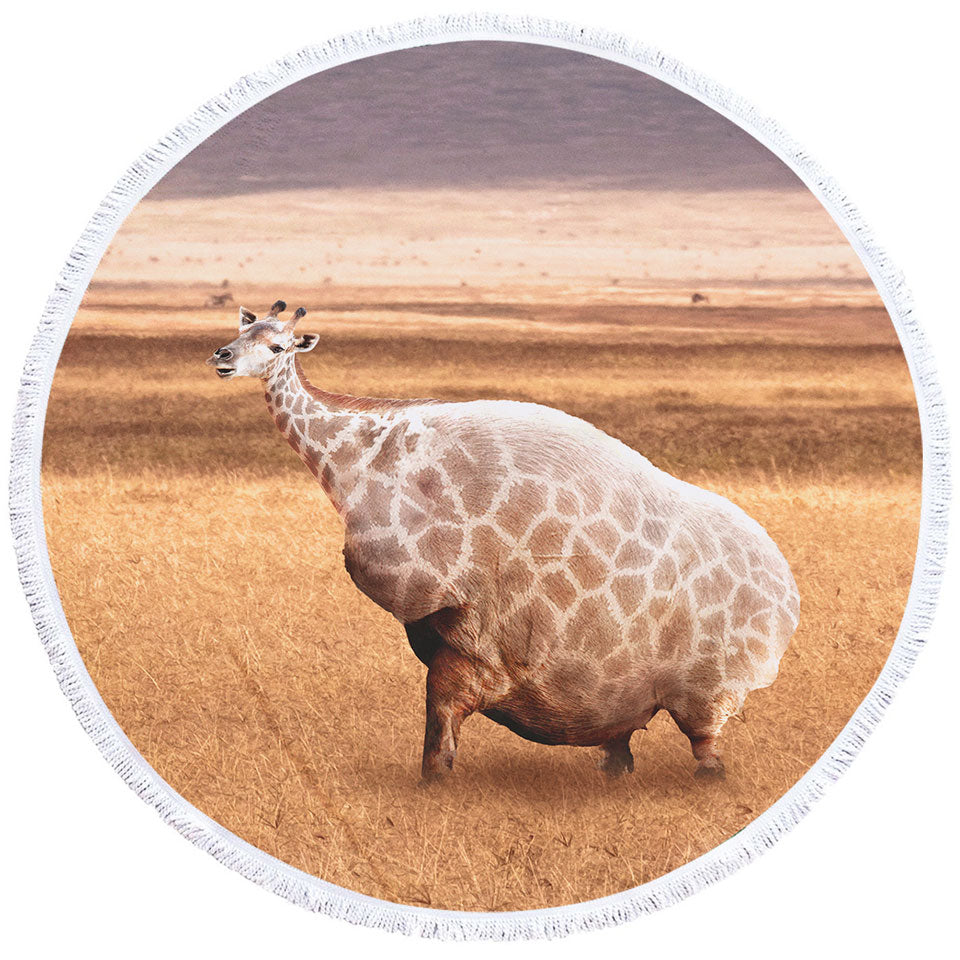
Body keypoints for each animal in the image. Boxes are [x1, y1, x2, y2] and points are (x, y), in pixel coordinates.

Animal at [208, 300, 800, 782]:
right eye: (240, 330)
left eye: (278, 346)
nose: (221, 357)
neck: (361, 464)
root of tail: (787, 593)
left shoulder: (452, 617)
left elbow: (437, 756)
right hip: (632, 703)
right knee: (621, 752)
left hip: (709, 692)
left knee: (708, 758)